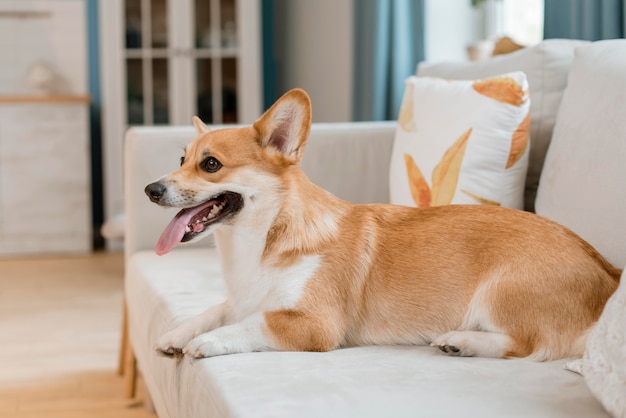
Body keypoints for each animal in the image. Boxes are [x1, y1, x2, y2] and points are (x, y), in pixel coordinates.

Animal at [146, 87, 620, 360]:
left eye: (211, 164)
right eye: (181, 159)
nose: (150, 189)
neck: (260, 239)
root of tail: (609, 272)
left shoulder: (312, 323)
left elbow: (247, 324)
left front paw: (204, 343)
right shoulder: (244, 298)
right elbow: (216, 310)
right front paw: (179, 333)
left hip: (500, 290)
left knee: (527, 346)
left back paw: (464, 341)